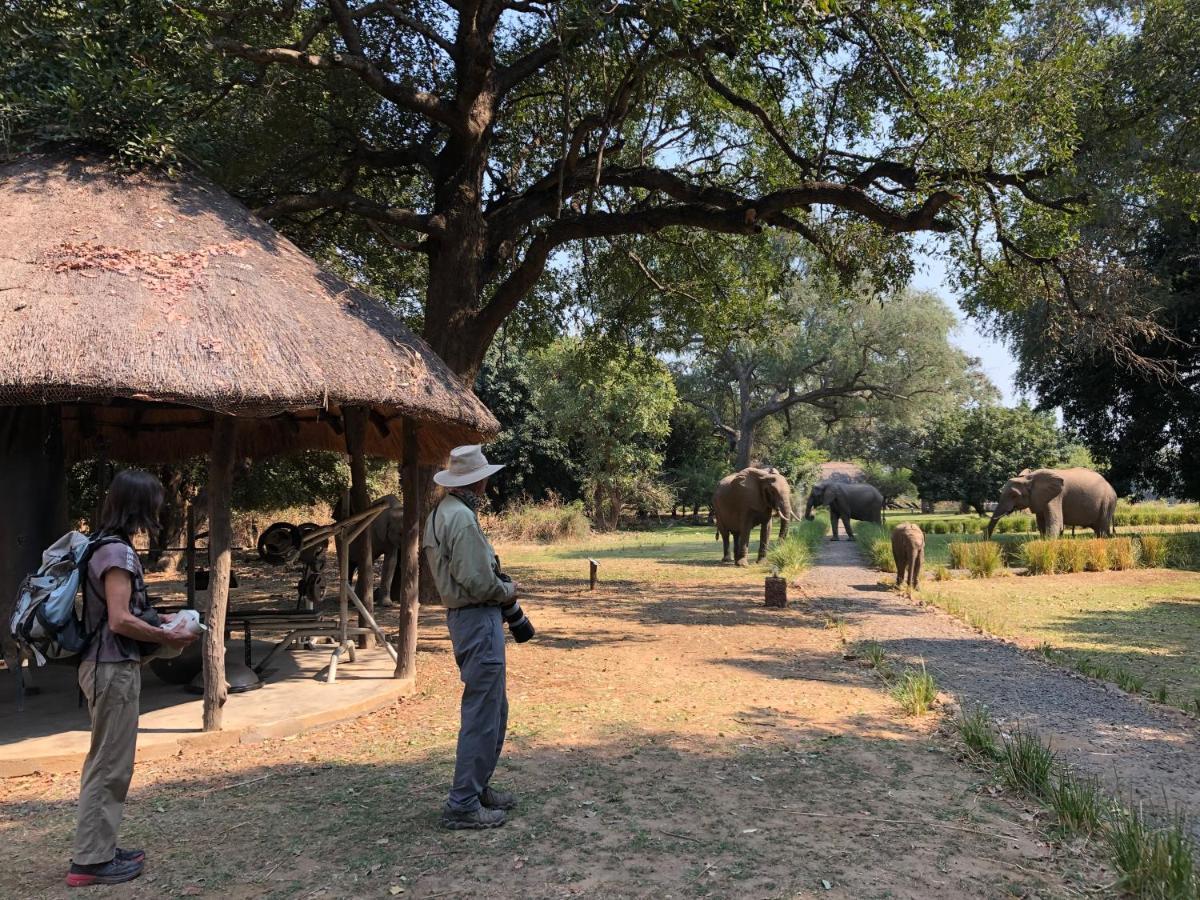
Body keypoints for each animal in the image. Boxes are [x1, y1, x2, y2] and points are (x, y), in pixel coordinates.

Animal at [984, 468, 1113, 540]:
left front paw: (1049, 542)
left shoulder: (1055, 497)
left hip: (1108, 502)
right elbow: (1041, 523)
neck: (1029, 478)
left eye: (1014, 495)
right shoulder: (1039, 499)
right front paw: (1043, 540)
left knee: (1102, 528)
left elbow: (1054, 523)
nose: (987, 540)